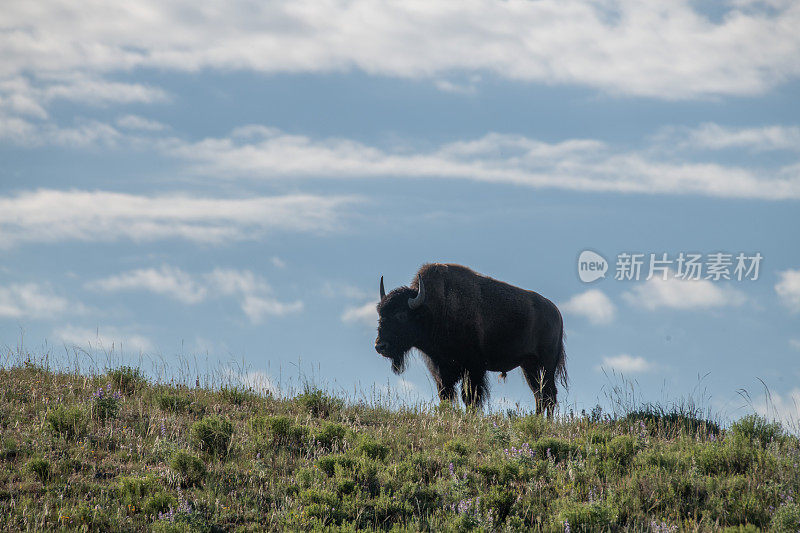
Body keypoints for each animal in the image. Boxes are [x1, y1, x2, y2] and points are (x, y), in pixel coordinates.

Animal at [378, 262, 564, 416]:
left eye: (401, 315)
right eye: (380, 314)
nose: (380, 346)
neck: (434, 311)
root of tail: (556, 312)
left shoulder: (474, 369)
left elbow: (470, 398)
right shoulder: (442, 372)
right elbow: (447, 397)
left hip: (546, 365)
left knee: (549, 395)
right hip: (528, 366)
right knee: (539, 395)